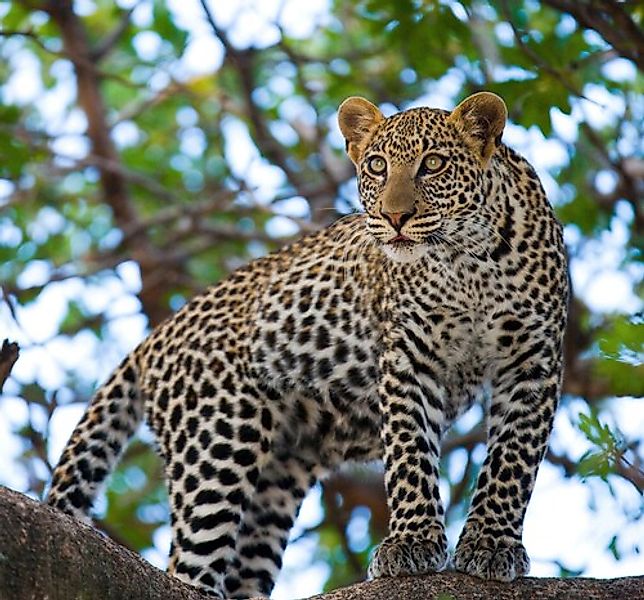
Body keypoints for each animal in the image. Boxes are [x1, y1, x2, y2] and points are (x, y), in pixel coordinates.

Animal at [46, 91, 568, 596]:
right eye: (377, 165)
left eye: (434, 164)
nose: (395, 216)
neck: (469, 262)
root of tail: (153, 339)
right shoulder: (409, 358)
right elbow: (410, 453)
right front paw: (411, 543)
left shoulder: (534, 361)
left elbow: (513, 460)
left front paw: (491, 544)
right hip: (217, 443)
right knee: (189, 564)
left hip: (277, 481)